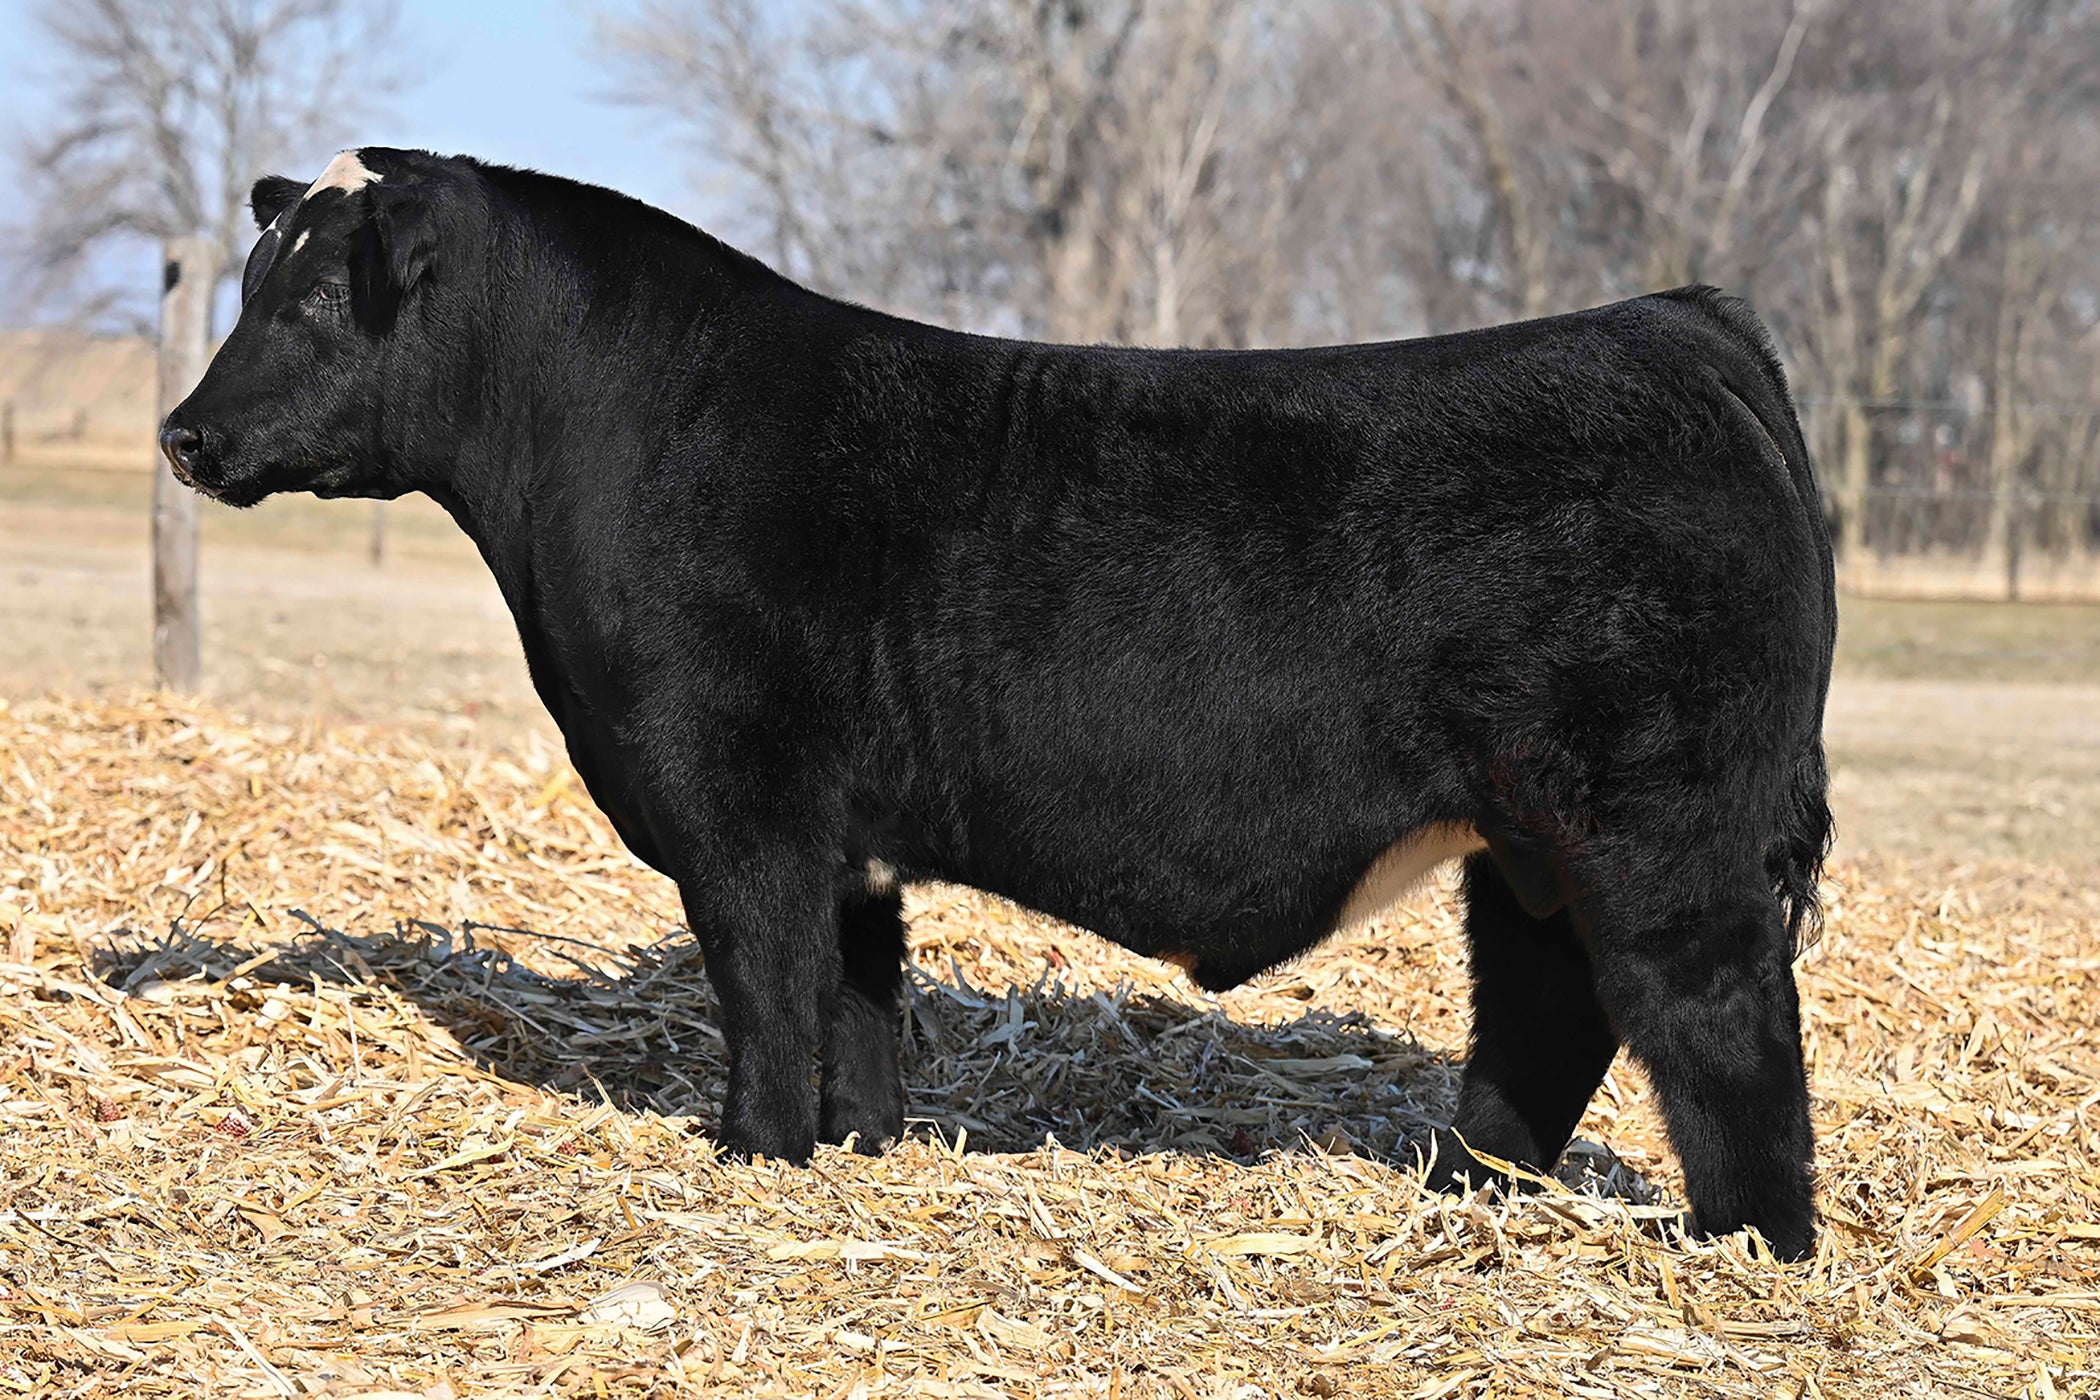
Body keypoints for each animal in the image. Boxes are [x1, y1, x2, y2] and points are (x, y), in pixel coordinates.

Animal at [160, 148, 1836, 1260]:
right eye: (251, 286)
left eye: (318, 300)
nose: (182, 433)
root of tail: (1671, 323)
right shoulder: (845, 839)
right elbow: (854, 1003)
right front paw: (855, 1146)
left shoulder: (740, 809)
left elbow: (763, 993)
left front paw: (751, 1154)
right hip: (1532, 840)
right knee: (1549, 1008)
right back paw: (1469, 1188)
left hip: (1658, 827)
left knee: (1715, 1013)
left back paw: (1751, 1248)